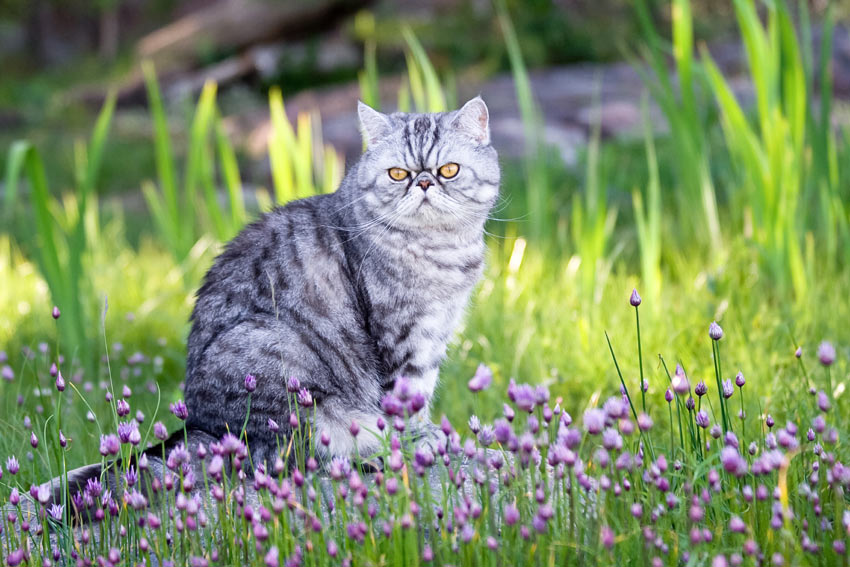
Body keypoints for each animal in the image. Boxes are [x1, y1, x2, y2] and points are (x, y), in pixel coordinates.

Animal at [181, 95, 496, 464]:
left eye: (448, 170)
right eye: (398, 174)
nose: (423, 182)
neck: (439, 248)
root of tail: (199, 425)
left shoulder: (433, 336)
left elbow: (422, 388)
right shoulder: (401, 335)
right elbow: (406, 397)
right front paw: (417, 439)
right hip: (281, 353)